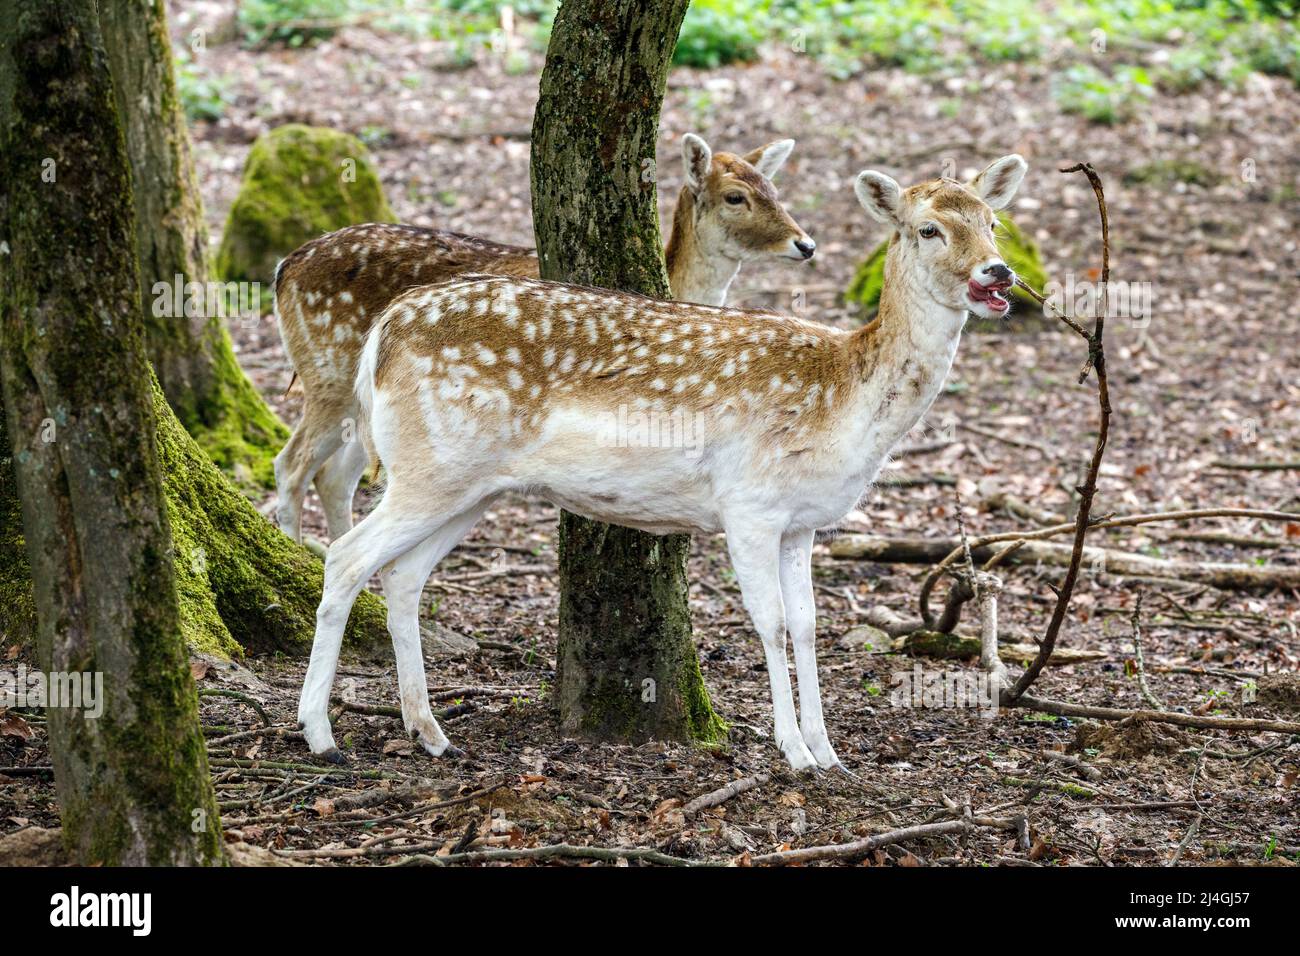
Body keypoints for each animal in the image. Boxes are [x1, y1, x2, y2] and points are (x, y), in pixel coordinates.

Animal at [272, 134, 816, 544]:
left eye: (773, 187)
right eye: (735, 196)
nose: (805, 244)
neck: (677, 281)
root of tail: (284, 268)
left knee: (335, 476)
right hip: (327, 372)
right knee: (291, 463)